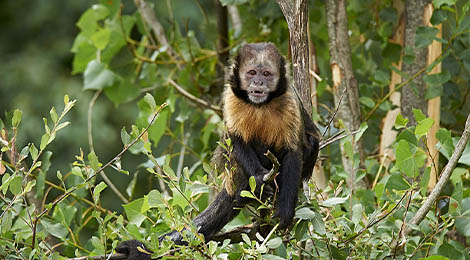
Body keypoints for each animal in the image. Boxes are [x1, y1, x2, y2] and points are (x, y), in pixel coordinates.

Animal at [116, 42, 322, 260]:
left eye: (267, 74)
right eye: (252, 73)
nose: (258, 82)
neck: (261, 105)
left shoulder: (289, 98)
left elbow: (293, 151)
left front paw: (285, 209)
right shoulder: (231, 96)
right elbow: (234, 139)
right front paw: (259, 179)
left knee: (308, 143)